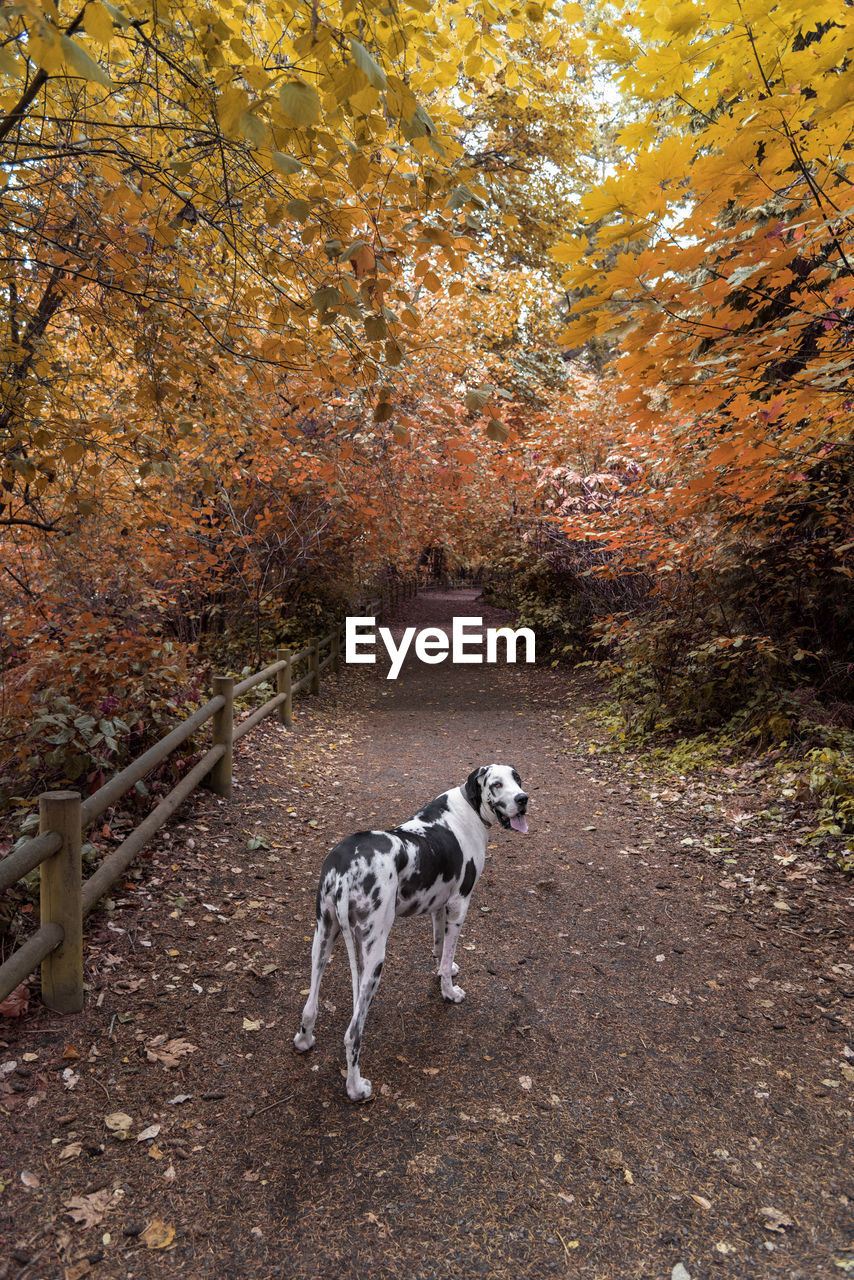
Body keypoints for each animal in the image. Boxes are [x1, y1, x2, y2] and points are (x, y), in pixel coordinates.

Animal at [297, 762, 530, 1105]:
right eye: (497, 784)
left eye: (518, 779)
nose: (523, 799)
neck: (468, 807)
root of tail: (346, 869)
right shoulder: (459, 905)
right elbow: (448, 954)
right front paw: (449, 992)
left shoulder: (439, 905)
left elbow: (439, 948)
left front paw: (444, 969)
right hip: (373, 958)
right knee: (353, 1034)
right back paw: (356, 1088)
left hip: (323, 939)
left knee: (310, 1005)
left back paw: (304, 1040)